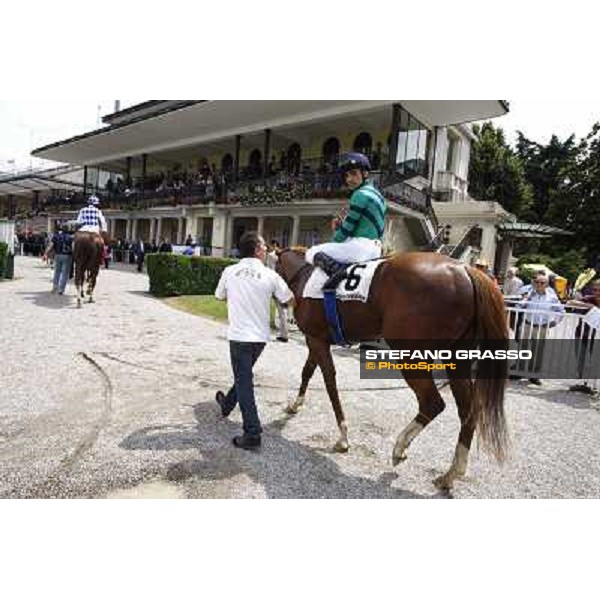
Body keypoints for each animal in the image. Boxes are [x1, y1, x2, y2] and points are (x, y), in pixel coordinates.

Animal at [276, 251, 506, 490]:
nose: (282, 303)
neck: (304, 275)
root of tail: (465, 269)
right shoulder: (317, 340)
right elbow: (307, 371)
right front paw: (295, 405)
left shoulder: (316, 340)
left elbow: (329, 382)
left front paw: (343, 436)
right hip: (456, 359)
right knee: (468, 411)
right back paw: (451, 473)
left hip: (411, 356)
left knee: (432, 403)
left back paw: (400, 446)